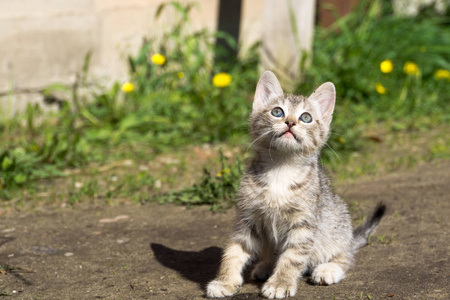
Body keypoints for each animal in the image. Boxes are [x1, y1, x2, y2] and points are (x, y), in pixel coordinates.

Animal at [206, 70, 384, 298]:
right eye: (277, 112)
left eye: (305, 117)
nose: (290, 122)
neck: (281, 169)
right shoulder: (248, 218)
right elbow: (234, 250)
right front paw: (225, 281)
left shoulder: (304, 224)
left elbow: (292, 257)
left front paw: (280, 283)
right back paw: (266, 265)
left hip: (337, 224)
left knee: (345, 255)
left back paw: (329, 268)